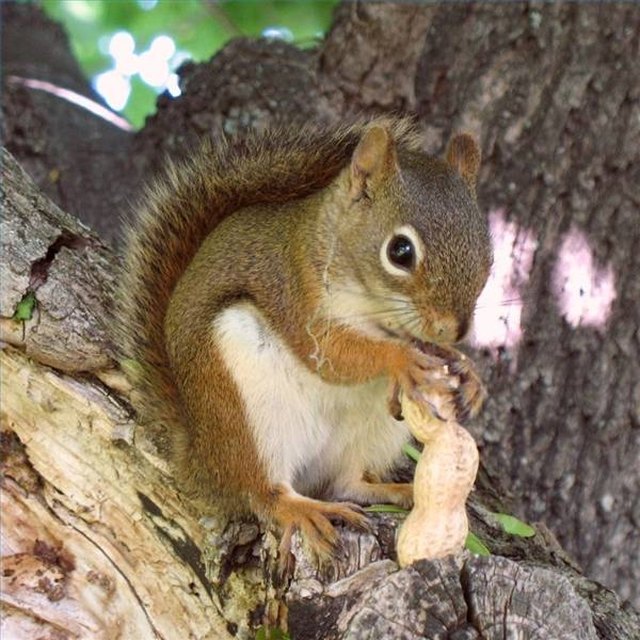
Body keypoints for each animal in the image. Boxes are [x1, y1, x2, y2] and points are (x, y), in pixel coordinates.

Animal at [117, 117, 492, 556]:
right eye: (400, 251)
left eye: (488, 252)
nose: (455, 329)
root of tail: (201, 460)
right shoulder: (296, 295)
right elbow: (332, 356)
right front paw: (400, 359)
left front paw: (469, 374)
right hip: (247, 409)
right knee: (263, 492)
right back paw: (300, 509)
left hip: (371, 433)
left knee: (345, 482)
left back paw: (396, 490)